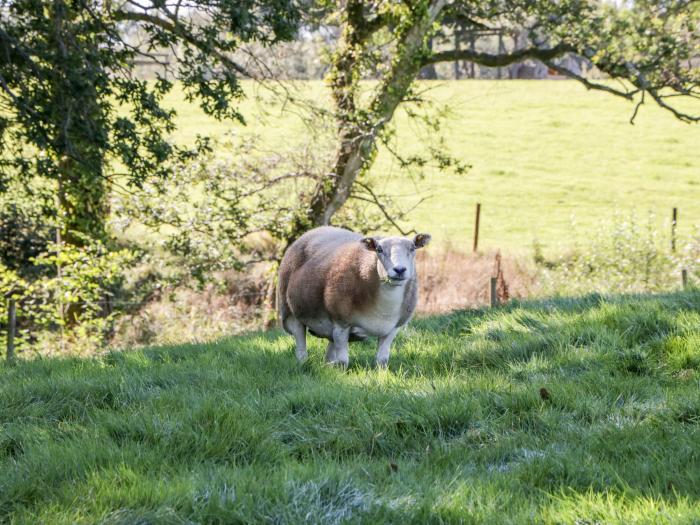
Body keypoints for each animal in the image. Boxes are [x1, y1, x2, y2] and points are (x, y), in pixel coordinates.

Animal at [276, 226, 430, 368]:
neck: (384, 309)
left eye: (413, 248)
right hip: (290, 312)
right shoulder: (341, 323)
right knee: (301, 347)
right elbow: (343, 361)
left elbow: (382, 360)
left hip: (331, 328)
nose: (399, 270)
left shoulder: (392, 329)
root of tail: (315, 230)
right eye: (379, 249)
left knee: (329, 352)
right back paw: (303, 364)